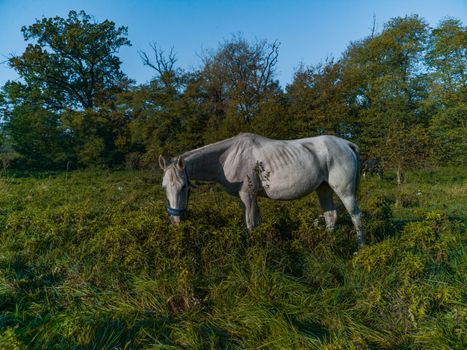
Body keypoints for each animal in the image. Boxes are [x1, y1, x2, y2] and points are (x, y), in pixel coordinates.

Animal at [159, 133, 364, 247]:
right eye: (164, 187)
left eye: (184, 186)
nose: (176, 221)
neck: (228, 157)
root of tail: (346, 144)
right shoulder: (251, 199)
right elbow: (256, 222)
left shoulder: (247, 196)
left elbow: (250, 225)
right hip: (324, 189)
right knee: (331, 216)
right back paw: (329, 244)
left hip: (344, 191)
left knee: (355, 216)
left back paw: (360, 248)